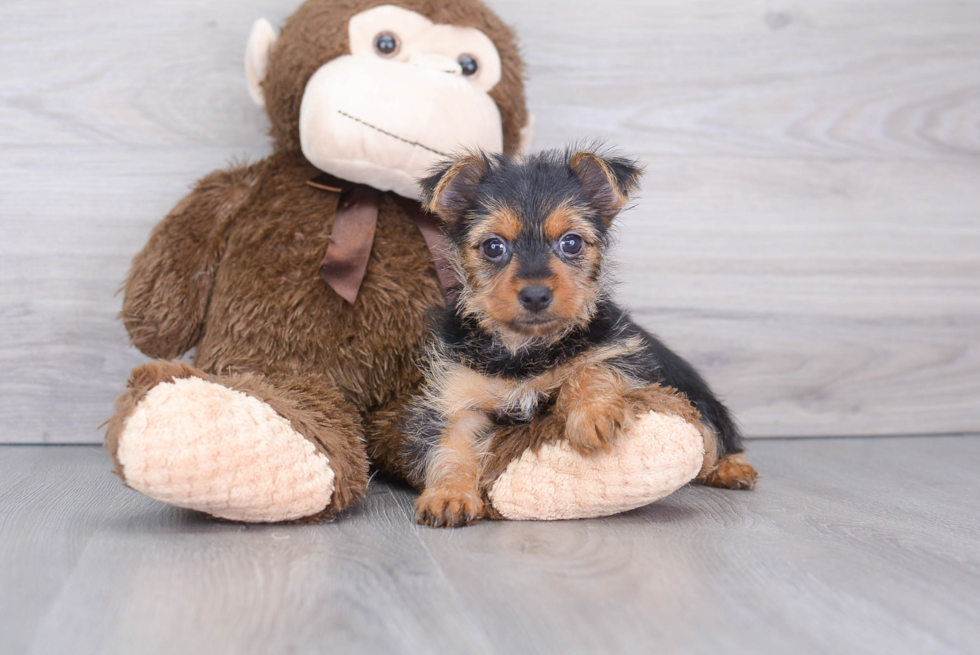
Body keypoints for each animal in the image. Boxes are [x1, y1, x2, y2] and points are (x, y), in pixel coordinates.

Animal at [398, 147, 756, 528]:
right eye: (493, 247)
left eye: (571, 242)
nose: (536, 295)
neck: (527, 348)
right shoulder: (455, 397)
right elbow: (451, 446)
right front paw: (448, 495)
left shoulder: (620, 353)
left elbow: (590, 367)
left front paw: (594, 415)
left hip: (700, 399)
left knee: (716, 436)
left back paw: (733, 468)